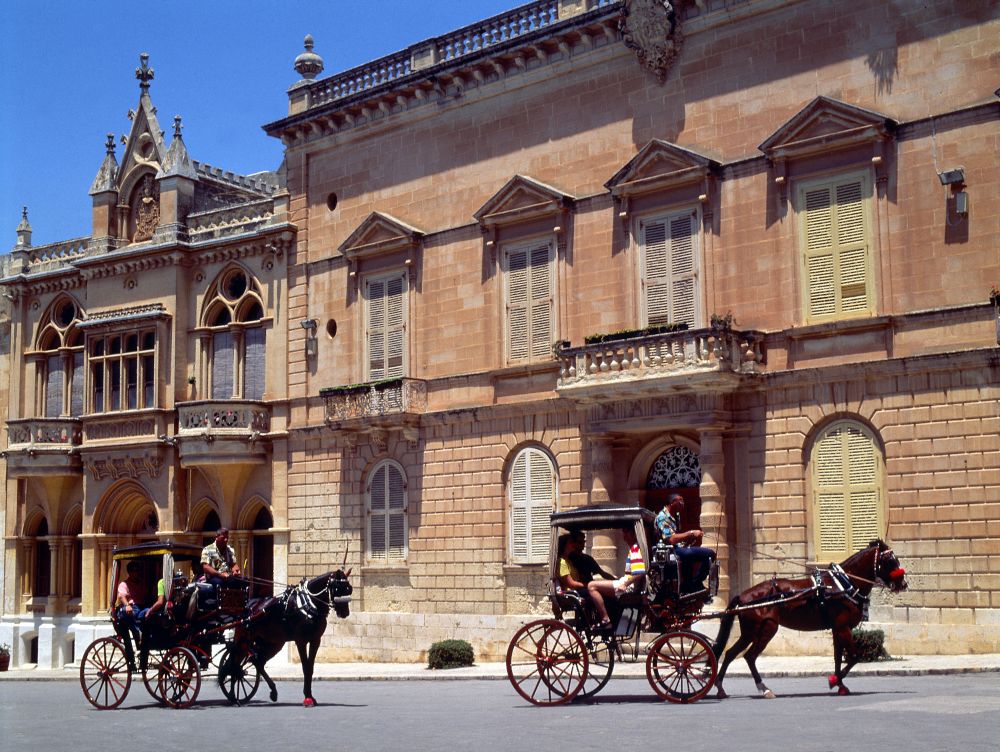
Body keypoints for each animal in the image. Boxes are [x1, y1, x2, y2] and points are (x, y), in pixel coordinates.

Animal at [234, 568, 356, 704]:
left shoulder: (315, 640)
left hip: (271, 643)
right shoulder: (300, 641)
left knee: (257, 661)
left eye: (349, 589)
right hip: (243, 640)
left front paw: (310, 695)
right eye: (337, 588)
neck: (308, 604)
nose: (345, 613)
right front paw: (308, 697)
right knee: (236, 662)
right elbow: (305, 667)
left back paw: (273, 691)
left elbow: (310, 667)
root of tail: (249, 605)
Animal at [712, 540, 908, 700]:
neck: (842, 585)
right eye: (889, 559)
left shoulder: (837, 629)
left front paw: (840, 684)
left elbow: (838, 658)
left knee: (730, 653)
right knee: (749, 656)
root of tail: (743, 596)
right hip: (766, 629)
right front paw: (834, 680)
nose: (904, 584)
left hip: (750, 633)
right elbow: (854, 656)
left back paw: (720, 687)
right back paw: (763, 689)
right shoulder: (843, 627)